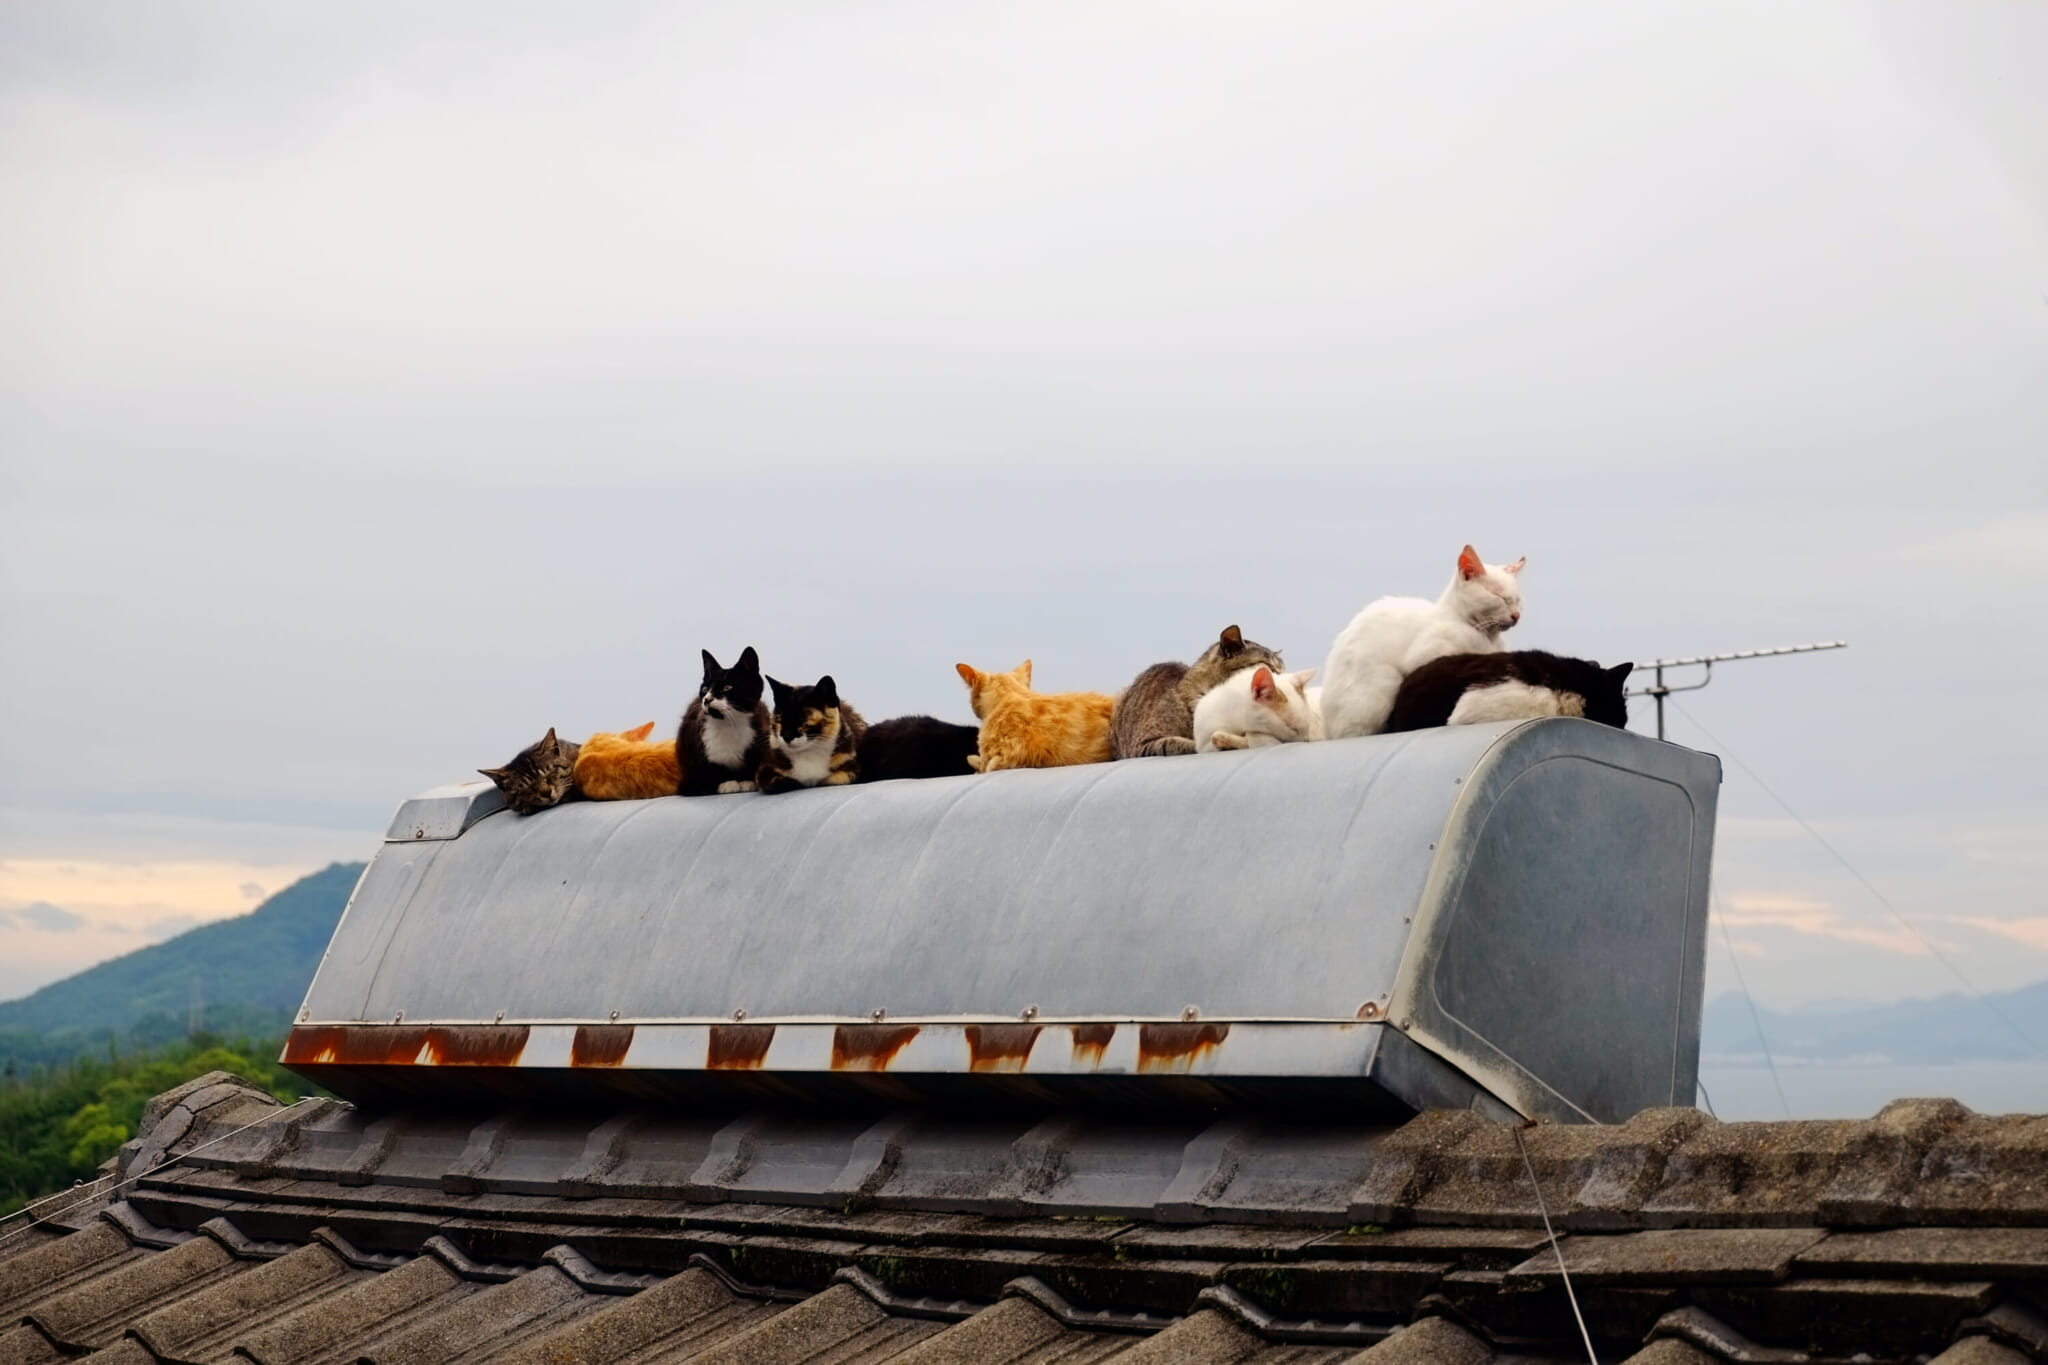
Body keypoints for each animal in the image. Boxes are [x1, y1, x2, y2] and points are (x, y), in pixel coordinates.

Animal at [675, 646, 770, 794]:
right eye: (705, 688)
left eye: (727, 687)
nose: (707, 699)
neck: (728, 724)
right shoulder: (696, 742)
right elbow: (710, 767)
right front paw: (726, 782)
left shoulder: (759, 734)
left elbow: (753, 761)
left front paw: (747, 780)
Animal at [1318, 544, 1531, 740]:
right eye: (1499, 596)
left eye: (1518, 600)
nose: (1516, 615)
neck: (1486, 636)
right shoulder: (1428, 656)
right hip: (1379, 690)